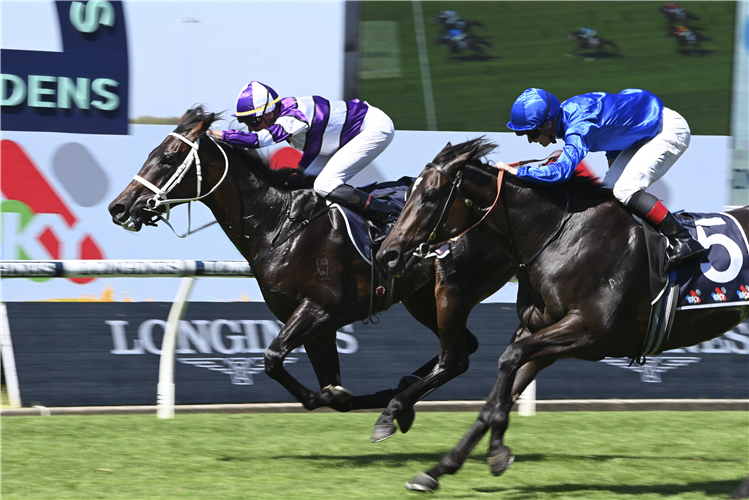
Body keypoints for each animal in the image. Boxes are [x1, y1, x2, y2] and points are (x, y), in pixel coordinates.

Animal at [108, 107, 520, 440]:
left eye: (168, 157)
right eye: (151, 153)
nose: (119, 207)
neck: (280, 223)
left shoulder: (319, 309)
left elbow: (274, 359)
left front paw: (353, 399)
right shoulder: (316, 323)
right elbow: (328, 387)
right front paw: (360, 396)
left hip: (451, 290)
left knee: (457, 357)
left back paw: (398, 404)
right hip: (422, 298)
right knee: (464, 347)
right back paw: (403, 394)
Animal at [376, 139, 748, 490]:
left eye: (430, 196)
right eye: (408, 193)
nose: (387, 254)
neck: (560, 235)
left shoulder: (589, 333)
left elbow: (508, 364)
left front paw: (496, 450)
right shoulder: (539, 332)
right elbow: (501, 389)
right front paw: (438, 470)